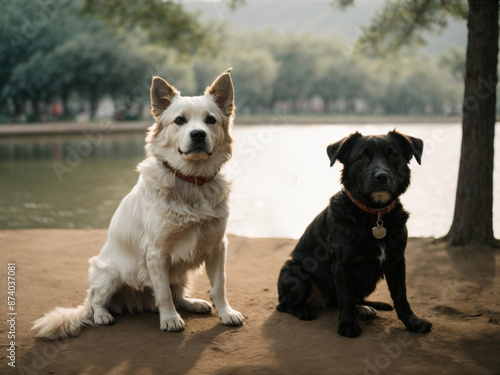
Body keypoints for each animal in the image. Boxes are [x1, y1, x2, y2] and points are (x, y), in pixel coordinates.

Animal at [32, 68, 243, 340]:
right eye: (179, 121)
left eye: (210, 120)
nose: (198, 135)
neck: (191, 182)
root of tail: (136, 303)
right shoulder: (156, 253)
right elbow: (163, 292)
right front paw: (170, 319)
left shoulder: (218, 245)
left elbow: (219, 285)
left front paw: (226, 313)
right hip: (109, 273)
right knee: (96, 301)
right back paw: (103, 316)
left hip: (180, 274)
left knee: (176, 293)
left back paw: (192, 303)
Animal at [276, 131, 432, 340]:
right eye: (362, 158)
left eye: (393, 156)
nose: (381, 176)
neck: (375, 216)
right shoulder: (344, 265)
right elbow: (347, 297)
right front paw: (348, 325)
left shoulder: (397, 261)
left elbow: (401, 296)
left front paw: (413, 322)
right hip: (294, 269)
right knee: (284, 305)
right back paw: (304, 310)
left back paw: (365, 308)